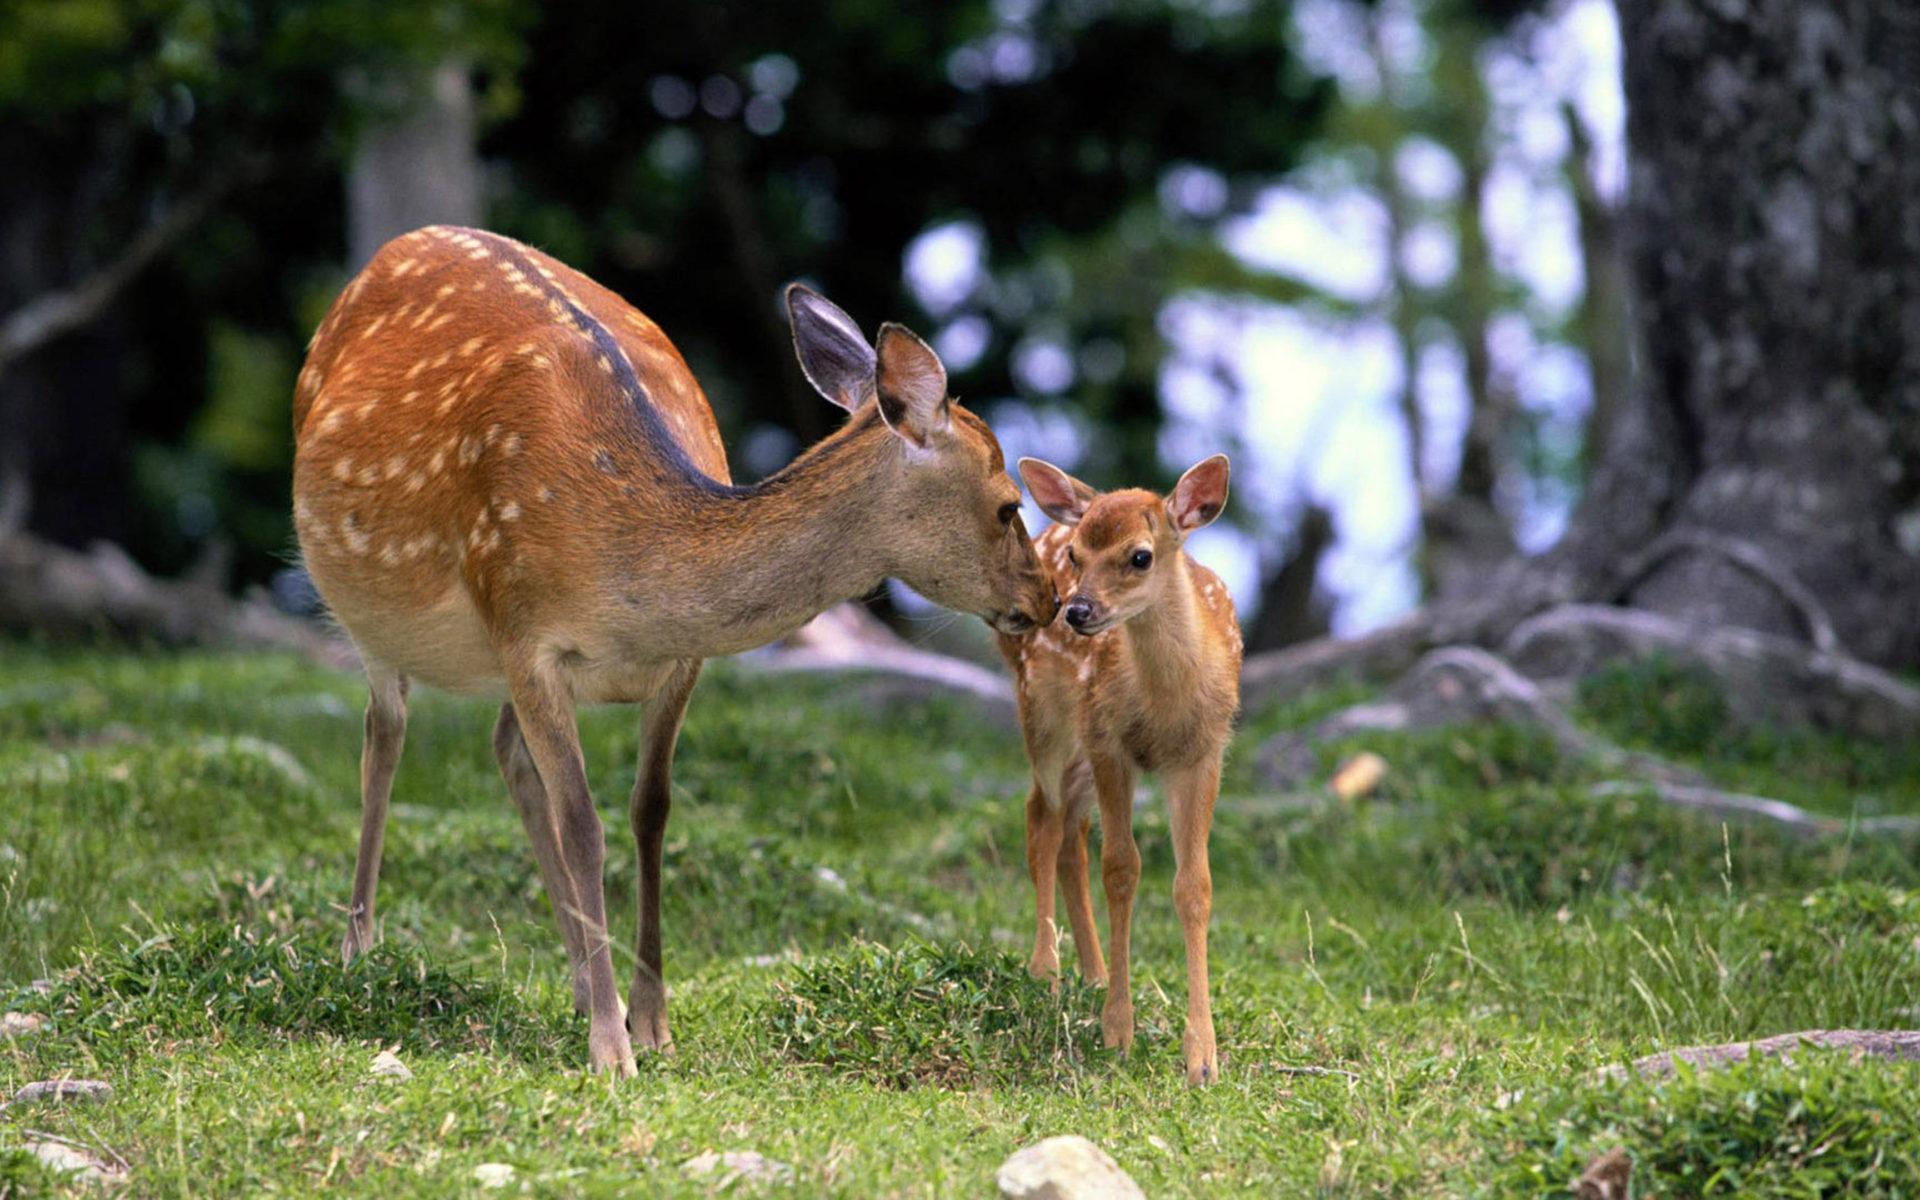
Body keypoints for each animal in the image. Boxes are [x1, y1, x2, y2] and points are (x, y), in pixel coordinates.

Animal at [290, 225, 1057, 1076]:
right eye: (1007, 505)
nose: (1049, 601)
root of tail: (394, 248)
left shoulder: (680, 663)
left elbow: (649, 810)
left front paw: (650, 1022)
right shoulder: (524, 631)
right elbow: (583, 824)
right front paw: (610, 1051)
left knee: (505, 751)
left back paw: (585, 985)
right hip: (371, 610)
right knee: (383, 736)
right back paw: (359, 950)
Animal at [996, 454, 1240, 1085]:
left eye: (1140, 556)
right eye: (1077, 555)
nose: (1077, 610)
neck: (1163, 705)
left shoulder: (1204, 752)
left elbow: (1194, 886)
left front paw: (1202, 1057)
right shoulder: (1111, 743)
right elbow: (1122, 870)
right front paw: (1118, 1032)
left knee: (1070, 833)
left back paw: (1094, 971)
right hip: (1044, 710)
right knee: (1042, 818)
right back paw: (1046, 970)